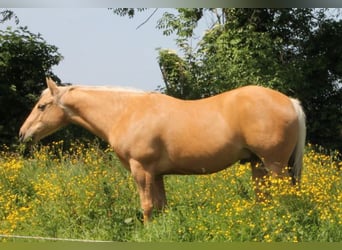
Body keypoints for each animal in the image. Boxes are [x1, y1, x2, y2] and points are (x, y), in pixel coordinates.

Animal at [18, 77, 306, 221]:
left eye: (42, 106)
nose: (23, 134)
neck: (126, 112)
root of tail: (290, 102)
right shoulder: (156, 174)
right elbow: (160, 206)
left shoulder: (141, 169)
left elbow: (146, 206)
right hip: (258, 164)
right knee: (264, 199)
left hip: (274, 165)